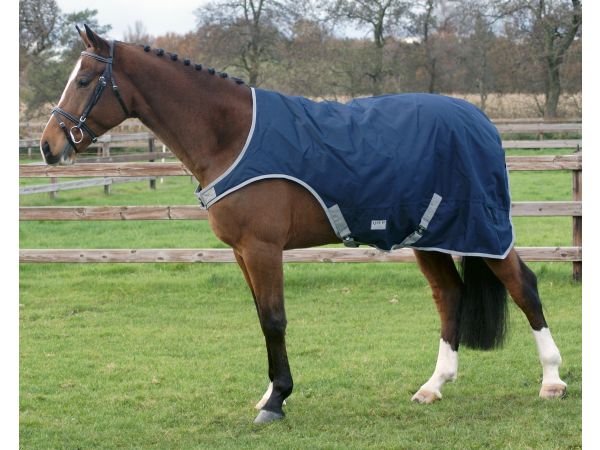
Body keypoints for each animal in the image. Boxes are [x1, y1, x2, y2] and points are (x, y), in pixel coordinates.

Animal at [38, 25, 568, 426]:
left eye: (85, 80)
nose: (48, 146)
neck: (232, 135)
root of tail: (481, 121)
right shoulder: (241, 252)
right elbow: (261, 319)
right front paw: (269, 392)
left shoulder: (262, 248)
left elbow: (274, 319)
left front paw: (276, 402)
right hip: (431, 236)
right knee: (449, 295)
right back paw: (433, 386)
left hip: (482, 230)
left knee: (523, 286)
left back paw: (552, 381)